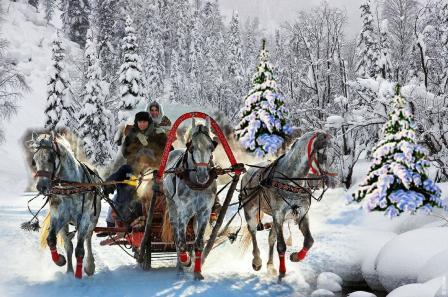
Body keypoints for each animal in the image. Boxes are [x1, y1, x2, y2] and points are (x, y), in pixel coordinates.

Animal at [31, 134, 101, 278]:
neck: (70, 188)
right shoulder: (59, 217)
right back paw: (69, 270)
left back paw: (89, 266)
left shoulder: (84, 218)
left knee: (88, 238)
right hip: (65, 224)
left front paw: (79, 274)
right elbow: (52, 239)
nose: (41, 187)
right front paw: (60, 261)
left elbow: (80, 249)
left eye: (50, 158)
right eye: (34, 160)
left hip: (93, 219)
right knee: (69, 245)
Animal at [163, 118, 219, 280]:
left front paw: (197, 272)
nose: (203, 176)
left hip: (195, 216)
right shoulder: (183, 213)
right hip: (172, 207)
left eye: (211, 147)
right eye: (192, 147)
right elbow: (181, 243)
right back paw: (180, 267)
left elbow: (198, 242)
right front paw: (186, 261)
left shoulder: (204, 213)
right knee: (177, 237)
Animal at [242, 130, 336, 280]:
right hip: (250, 211)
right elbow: (281, 246)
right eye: (324, 156)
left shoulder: (302, 214)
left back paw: (271, 266)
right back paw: (257, 261)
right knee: (253, 232)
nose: (333, 181)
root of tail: (247, 173)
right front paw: (282, 271)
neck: (290, 179)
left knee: (271, 238)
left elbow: (309, 241)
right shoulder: (279, 215)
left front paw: (296, 257)